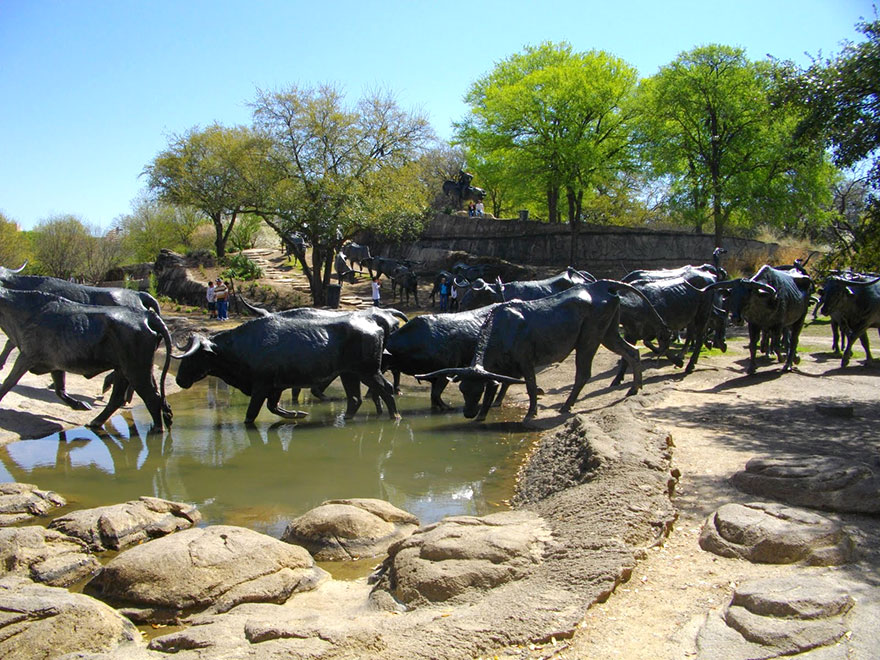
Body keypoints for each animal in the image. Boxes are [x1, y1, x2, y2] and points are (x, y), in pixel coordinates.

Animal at [0, 287, 173, 432]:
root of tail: (148, 316)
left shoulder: (26, 356)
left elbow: (8, 382)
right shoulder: (55, 363)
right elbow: (60, 389)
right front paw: (79, 405)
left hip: (136, 369)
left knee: (152, 397)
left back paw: (157, 429)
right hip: (123, 369)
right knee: (117, 398)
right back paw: (96, 421)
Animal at [172, 312, 398, 423]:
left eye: (193, 358)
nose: (178, 380)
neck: (242, 346)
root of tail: (375, 323)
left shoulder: (261, 386)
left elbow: (251, 415)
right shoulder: (276, 387)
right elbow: (274, 408)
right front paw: (299, 414)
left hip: (368, 371)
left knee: (385, 389)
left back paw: (395, 416)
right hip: (349, 374)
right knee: (355, 398)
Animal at [416, 281, 642, 422]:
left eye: (477, 390)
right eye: (462, 389)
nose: (468, 414)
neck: (502, 328)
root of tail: (603, 286)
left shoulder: (526, 361)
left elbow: (530, 386)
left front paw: (531, 412)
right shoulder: (502, 366)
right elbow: (502, 384)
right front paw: (490, 408)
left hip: (589, 339)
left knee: (583, 373)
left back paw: (566, 405)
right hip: (609, 333)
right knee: (632, 352)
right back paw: (634, 388)